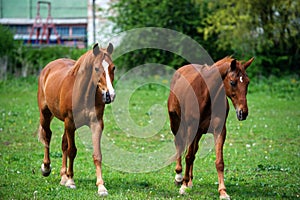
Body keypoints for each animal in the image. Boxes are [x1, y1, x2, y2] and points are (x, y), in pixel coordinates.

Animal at [37, 43, 116, 196]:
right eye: (96, 68)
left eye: (113, 67)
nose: (110, 95)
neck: (84, 94)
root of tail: (48, 68)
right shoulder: (70, 122)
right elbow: (72, 151)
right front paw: (71, 181)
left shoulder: (96, 124)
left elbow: (97, 155)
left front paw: (101, 186)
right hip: (46, 114)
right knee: (47, 136)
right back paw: (46, 168)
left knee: (63, 144)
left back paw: (63, 176)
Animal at [168, 55, 254, 198]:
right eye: (232, 82)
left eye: (247, 82)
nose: (243, 113)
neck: (206, 96)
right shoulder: (192, 128)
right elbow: (188, 156)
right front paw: (183, 186)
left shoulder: (220, 130)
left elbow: (219, 162)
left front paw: (223, 192)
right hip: (176, 124)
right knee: (179, 145)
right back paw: (179, 177)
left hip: (198, 133)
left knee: (193, 150)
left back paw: (190, 181)